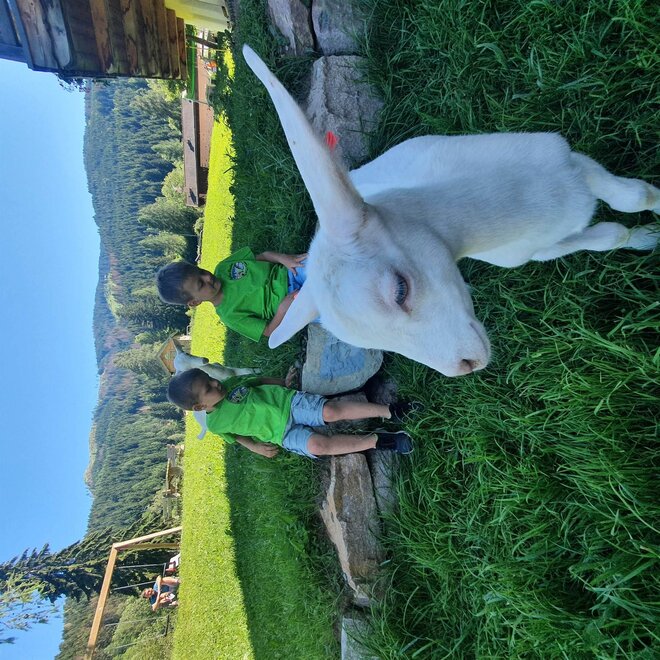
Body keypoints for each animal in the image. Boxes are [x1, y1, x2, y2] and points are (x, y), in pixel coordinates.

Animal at [243, 45, 659, 377]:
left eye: (400, 290)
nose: (464, 366)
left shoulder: (570, 163)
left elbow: (634, 199)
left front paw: (649, 232)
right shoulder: (535, 249)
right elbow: (610, 235)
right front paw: (646, 239)